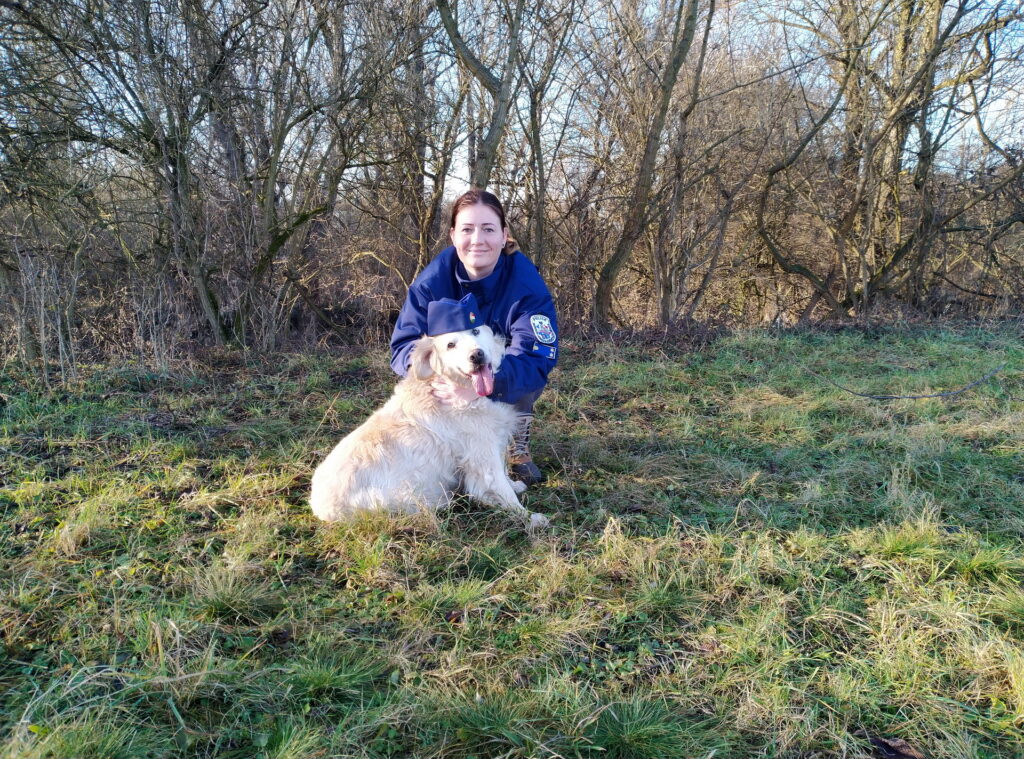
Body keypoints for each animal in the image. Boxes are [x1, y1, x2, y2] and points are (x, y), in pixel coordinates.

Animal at [309, 323, 548, 528]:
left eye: (476, 331)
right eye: (450, 345)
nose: (476, 355)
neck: (463, 391)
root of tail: (319, 508)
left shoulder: (494, 443)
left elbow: (504, 476)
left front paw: (515, 485)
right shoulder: (482, 456)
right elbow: (501, 488)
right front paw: (530, 518)